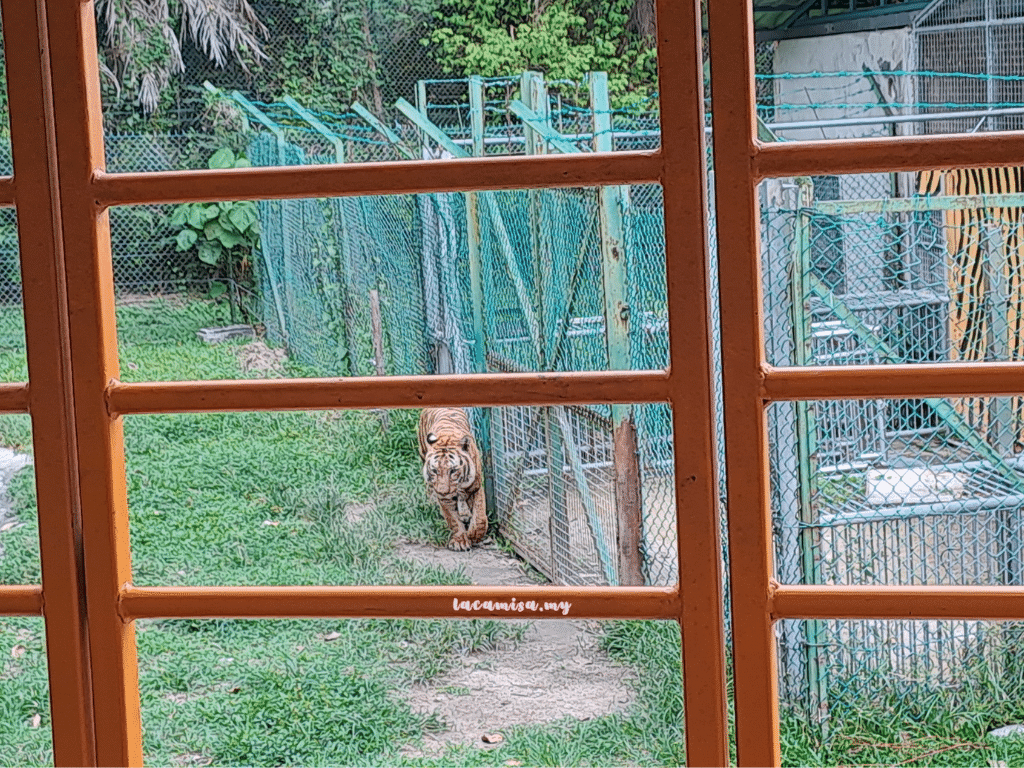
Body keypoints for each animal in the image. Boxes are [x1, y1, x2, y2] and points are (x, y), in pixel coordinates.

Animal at [419, 405, 491, 548]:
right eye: (434, 470)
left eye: (453, 471)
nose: (442, 491)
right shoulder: (444, 498)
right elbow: (453, 519)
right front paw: (460, 541)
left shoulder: (476, 486)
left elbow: (480, 517)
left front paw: (474, 536)